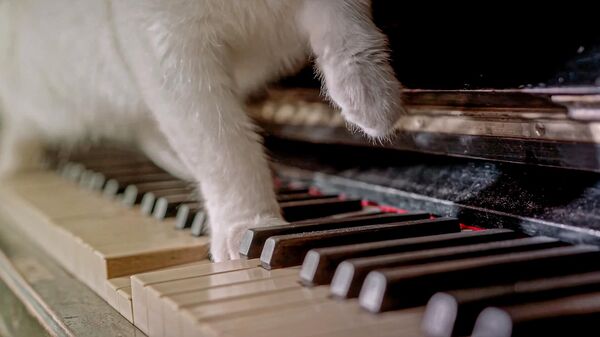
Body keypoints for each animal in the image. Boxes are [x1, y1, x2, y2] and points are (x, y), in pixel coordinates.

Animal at [1, 0, 404, 262]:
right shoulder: (170, 47)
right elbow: (226, 149)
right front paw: (252, 229)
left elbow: (350, 31)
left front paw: (373, 99)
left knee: (150, 128)